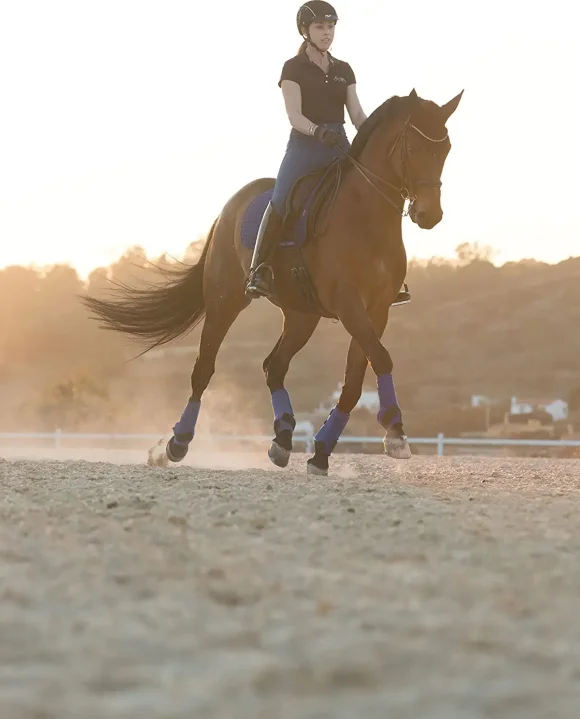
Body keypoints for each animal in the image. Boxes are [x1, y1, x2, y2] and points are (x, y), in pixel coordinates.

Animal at [82, 89, 463, 475]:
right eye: (412, 147)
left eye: (446, 149)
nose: (429, 215)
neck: (366, 215)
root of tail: (231, 206)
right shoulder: (349, 303)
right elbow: (382, 359)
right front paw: (396, 433)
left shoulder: (377, 310)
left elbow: (355, 381)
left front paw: (322, 452)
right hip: (225, 301)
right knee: (204, 368)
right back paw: (177, 443)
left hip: (301, 315)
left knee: (273, 366)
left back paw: (282, 438)